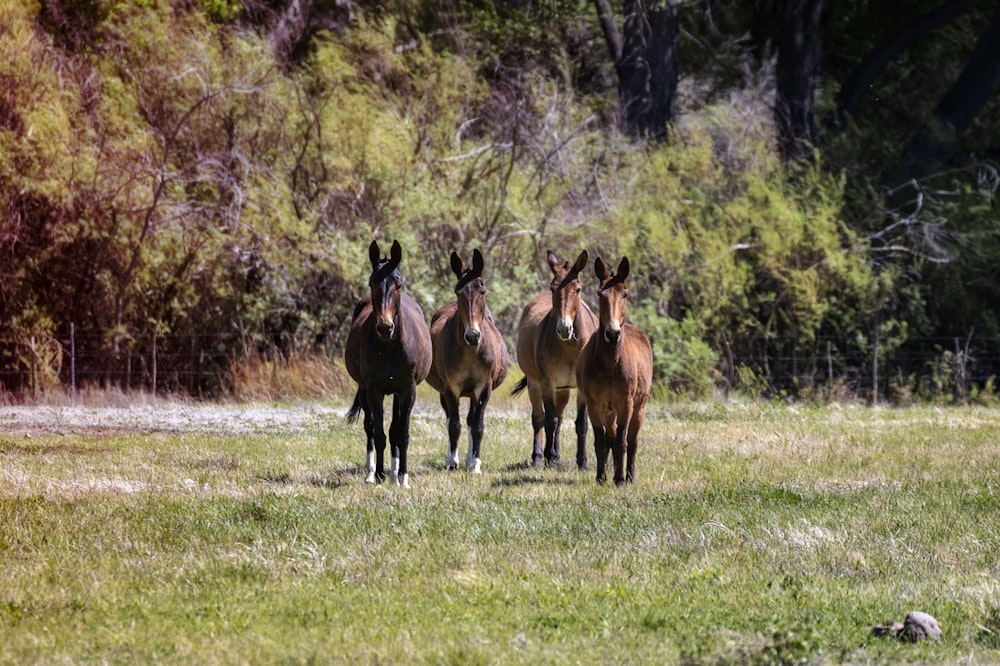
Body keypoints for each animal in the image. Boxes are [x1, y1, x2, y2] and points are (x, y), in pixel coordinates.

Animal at [346, 240, 432, 488]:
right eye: (371, 282)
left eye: (398, 284)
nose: (385, 328)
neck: (391, 348)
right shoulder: (374, 390)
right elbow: (379, 434)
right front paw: (378, 475)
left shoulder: (407, 390)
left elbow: (401, 434)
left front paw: (403, 476)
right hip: (365, 390)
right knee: (370, 427)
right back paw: (371, 472)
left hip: (395, 393)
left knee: (394, 428)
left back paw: (394, 473)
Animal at [428, 248, 512, 472]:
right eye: (459, 292)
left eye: (482, 291)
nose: (473, 335)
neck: (470, 352)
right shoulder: (451, 387)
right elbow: (454, 425)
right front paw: (452, 462)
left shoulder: (483, 387)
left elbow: (477, 426)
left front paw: (475, 465)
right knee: (451, 420)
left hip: (473, 393)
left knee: (470, 420)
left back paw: (469, 459)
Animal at [512, 249, 596, 466]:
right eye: (553, 288)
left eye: (578, 289)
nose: (564, 329)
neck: (570, 348)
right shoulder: (547, 383)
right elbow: (549, 421)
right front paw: (548, 457)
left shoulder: (581, 387)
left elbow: (581, 423)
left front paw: (582, 461)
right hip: (535, 384)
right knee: (539, 418)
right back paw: (539, 456)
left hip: (564, 389)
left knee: (560, 416)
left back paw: (556, 454)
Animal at [576, 254, 652, 482]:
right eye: (601, 293)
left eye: (624, 294)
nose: (612, 333)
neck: (611, 363)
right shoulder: (594, 404)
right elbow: (602, 442)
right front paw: (600, 477)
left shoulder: (626, 403)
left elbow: (622, 442)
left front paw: (619, 479)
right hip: (609, 412)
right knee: (611, 436)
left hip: (639, 406)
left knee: (632, 441)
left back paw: (629, 475)